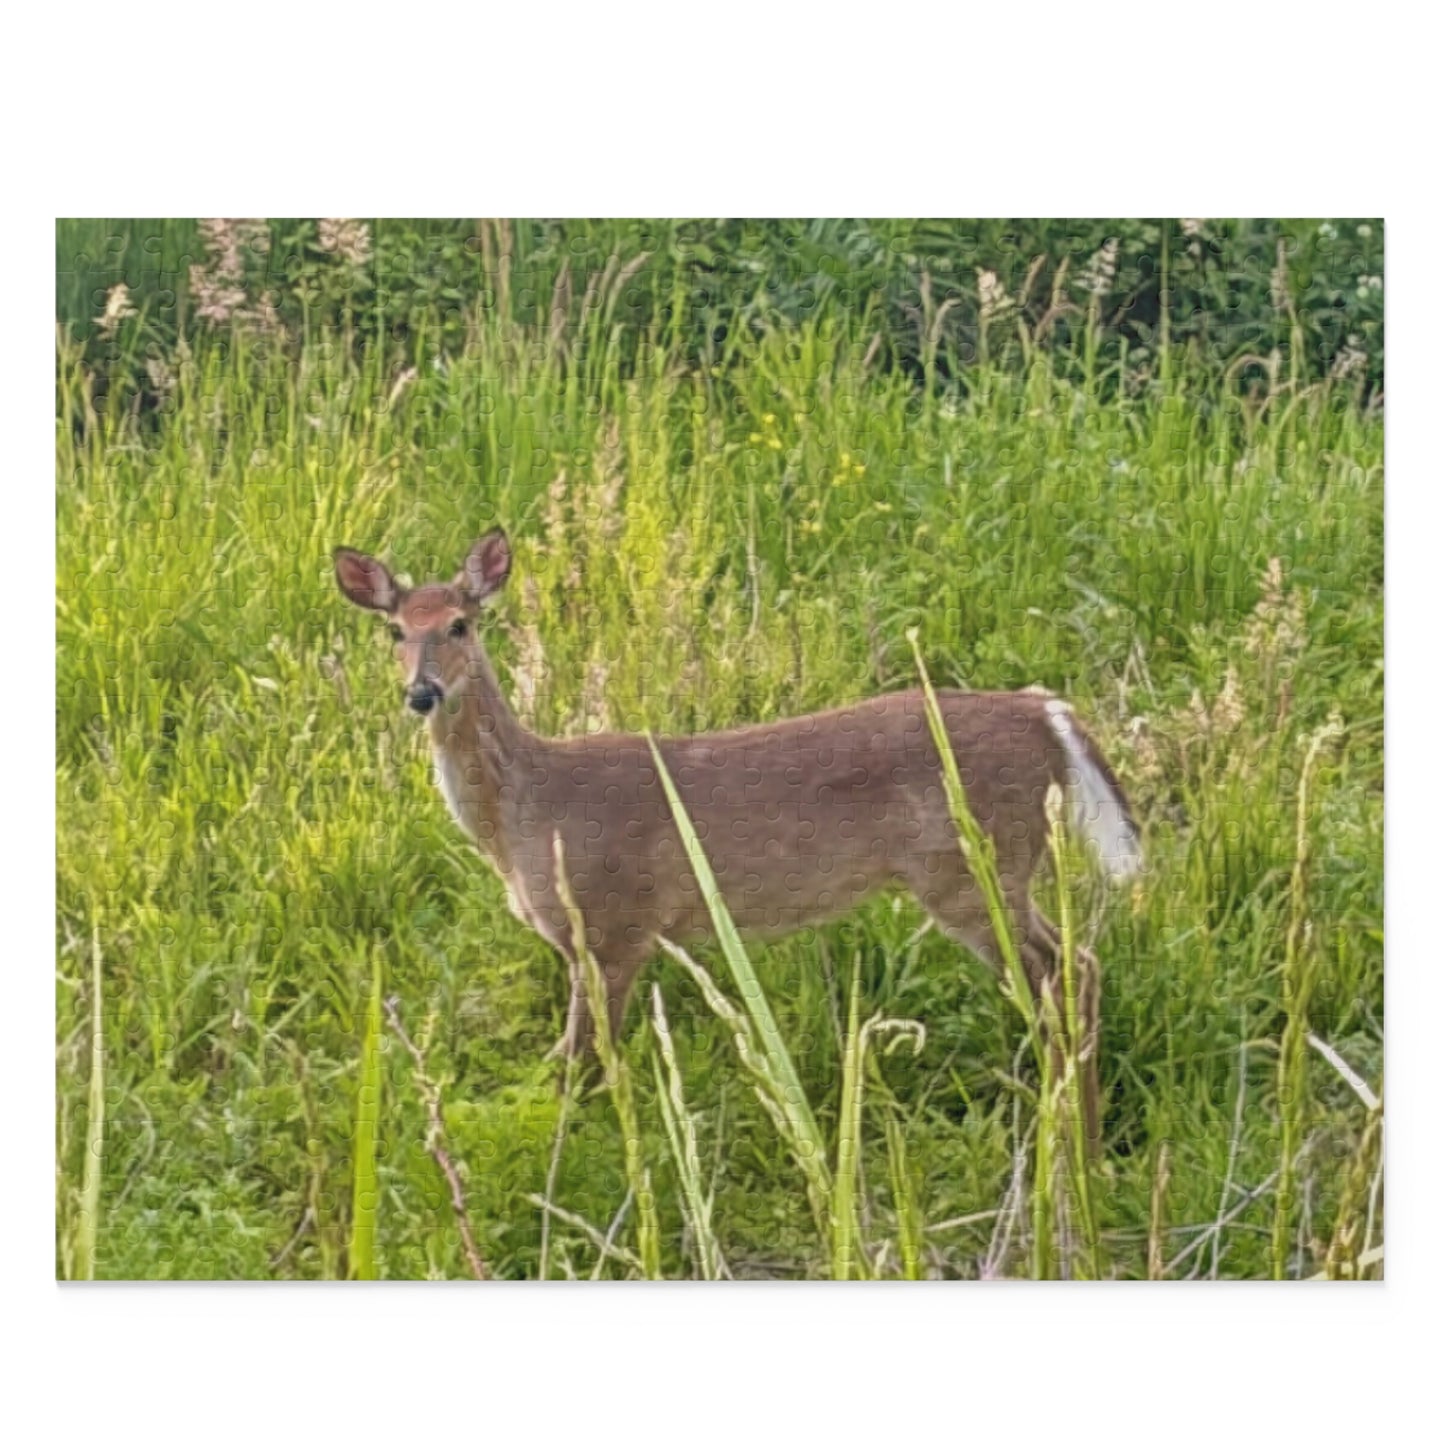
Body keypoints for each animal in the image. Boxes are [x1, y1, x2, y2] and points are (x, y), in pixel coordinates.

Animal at [333, 527, 1142, 1145]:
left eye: (460, 624)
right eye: (395, 631)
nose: (422, 693)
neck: (530, 811)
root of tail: (1046, 714)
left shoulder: (613, 927)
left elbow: (584, 1059)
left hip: (973, 869)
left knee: (1065, 968)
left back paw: (1076, 1141)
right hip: (995, 869)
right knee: (1075, 964)